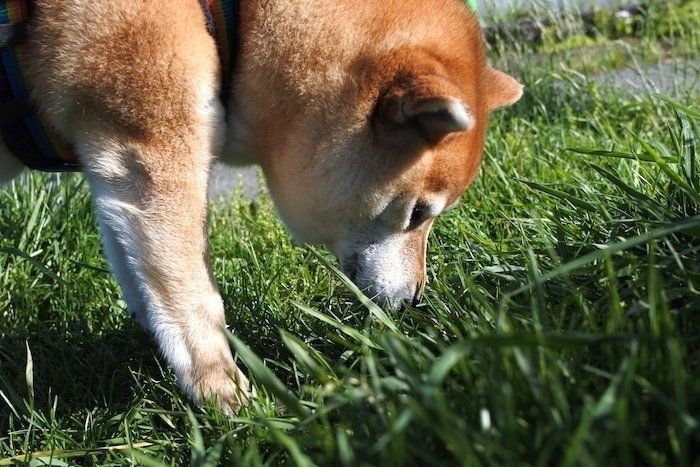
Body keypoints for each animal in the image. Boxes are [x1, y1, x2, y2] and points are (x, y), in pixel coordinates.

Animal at [0, 0, 522, 412]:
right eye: (417, 214)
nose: (416, 299)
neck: (230, 17)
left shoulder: (117, 177)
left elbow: (142, 280)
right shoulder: (152, 155)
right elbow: (192, 298)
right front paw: (227, 396)